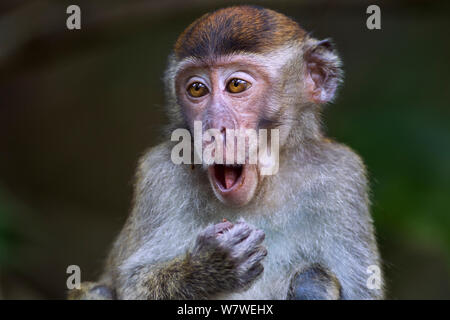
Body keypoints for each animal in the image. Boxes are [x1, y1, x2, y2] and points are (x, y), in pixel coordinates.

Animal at [68, 4, 384, 300]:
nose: (212, 127)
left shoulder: (341, 175)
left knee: (314, 276)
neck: (262, 190)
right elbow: (134, 284)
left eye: (236, 85)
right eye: (197, 89)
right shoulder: (158, 174)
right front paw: (209, 266)